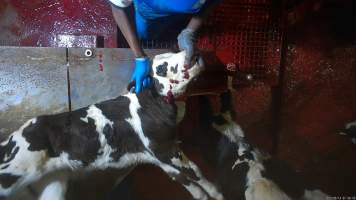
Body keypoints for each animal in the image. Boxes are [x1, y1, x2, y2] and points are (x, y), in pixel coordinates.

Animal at [0, 51, 222, 200]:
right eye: (161, 68)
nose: (194, 55)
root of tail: (13, 136)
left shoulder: (160, 155)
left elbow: (190, 183)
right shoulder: (167, 149)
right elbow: (198, 173)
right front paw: (219, 194)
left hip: (52, 183)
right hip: (17, 171)